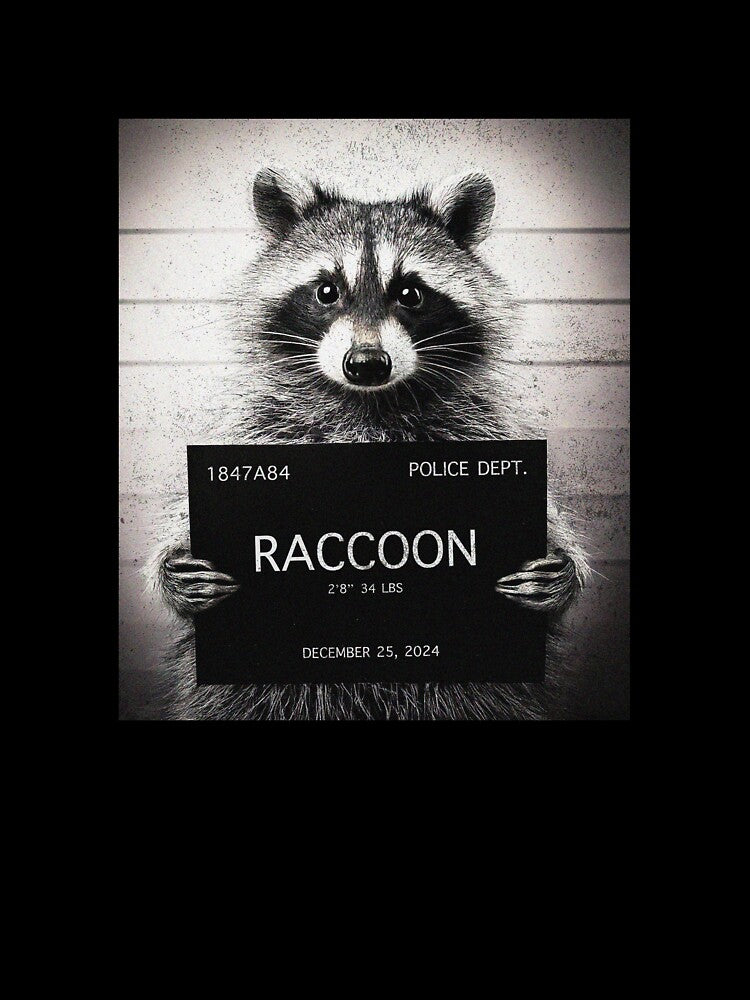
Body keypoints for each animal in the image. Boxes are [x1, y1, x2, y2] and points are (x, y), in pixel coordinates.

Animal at [147, 168, 590, 720]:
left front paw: (562, 570)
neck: (367, 403)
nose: (366, 364)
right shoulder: (257, 424)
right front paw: (175, 568)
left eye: (410, 293)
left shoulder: (480, 428)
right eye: (326, 291)